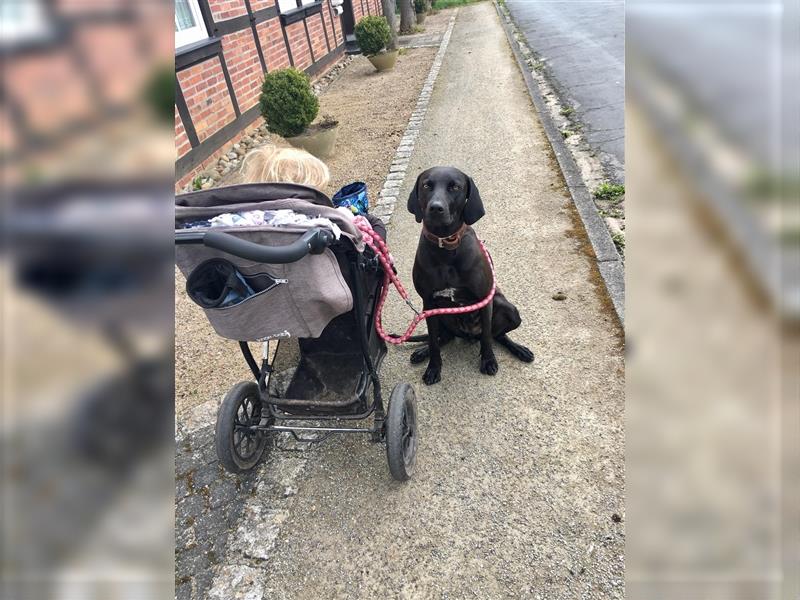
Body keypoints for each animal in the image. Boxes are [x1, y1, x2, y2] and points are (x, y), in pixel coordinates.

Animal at [410, 166, 536, 386]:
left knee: (496, 336)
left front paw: (488, 361)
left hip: (508, 308)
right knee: (444, 338)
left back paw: (519, 349)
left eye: (455, 187)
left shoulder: (485, 300)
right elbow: (433, 342)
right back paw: (421, 352)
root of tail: (468, 335)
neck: (446, 247)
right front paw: (433, 368)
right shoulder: (429, 304)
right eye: (426, 185)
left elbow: (487, 338)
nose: (436, 208)